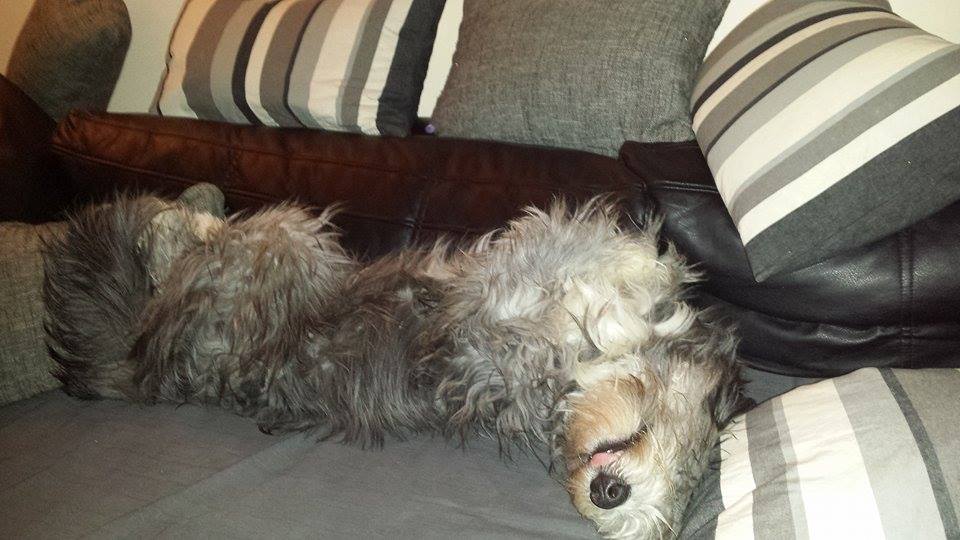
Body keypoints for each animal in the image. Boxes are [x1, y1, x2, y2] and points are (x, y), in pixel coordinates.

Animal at [42, 187, 744, 539]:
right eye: (664, 429)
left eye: (679, 495)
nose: (609, 494)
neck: (556, 383)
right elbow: (629, 286)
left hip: (279, 235)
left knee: (180, 248)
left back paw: (179, 220)